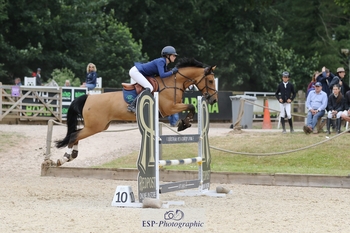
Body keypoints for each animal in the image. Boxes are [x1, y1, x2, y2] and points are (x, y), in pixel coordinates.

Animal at [55, 57, 217, 166]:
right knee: (74, 135)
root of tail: (88, 97)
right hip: (95, 126)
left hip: (99, 126)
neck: (172, 83)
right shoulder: (169, 108)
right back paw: (64, 158)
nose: (213, 100)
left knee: (76, 135)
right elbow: (191, 107)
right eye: (210, 81)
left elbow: (191, 107)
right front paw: (183, 124)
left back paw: (71, 155)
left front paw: (184, 123)